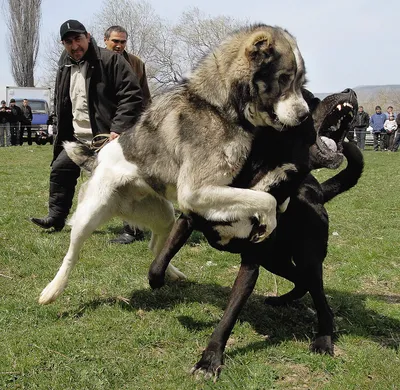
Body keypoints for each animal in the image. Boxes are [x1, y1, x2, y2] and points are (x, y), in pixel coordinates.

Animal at [39, 24, 310, 304]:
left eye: (301, 82)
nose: (305, 115)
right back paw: (52, 290)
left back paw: (171, 273)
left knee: (155, 246)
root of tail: (96, 158)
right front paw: (269, 222)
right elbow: (266, 200)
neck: (220, 107)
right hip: (89, 216)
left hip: (164, 215)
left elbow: (266, 197)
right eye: (284, 78)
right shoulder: (195, 193)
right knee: (72, 253)